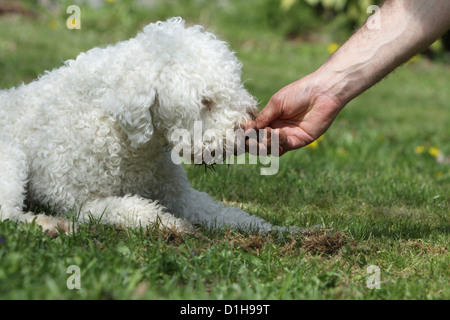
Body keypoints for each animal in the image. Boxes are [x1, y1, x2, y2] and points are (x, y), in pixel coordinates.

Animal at [0, 18, 288, 238]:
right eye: (205, 101)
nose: (248, 129)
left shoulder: (180, 195)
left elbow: (224, 212)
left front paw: (274, 229)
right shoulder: (79, 202)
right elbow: (130, 207)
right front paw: (169, 223)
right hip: (11, 158)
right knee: (7, 214)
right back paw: (49, 225)